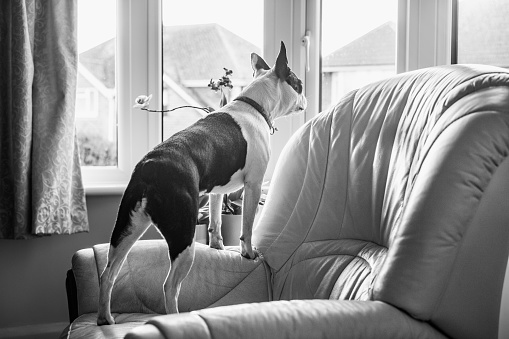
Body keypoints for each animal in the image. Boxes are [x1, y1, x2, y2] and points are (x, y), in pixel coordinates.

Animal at [97, 41, 308, 326]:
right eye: (299, 84)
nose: (305, 98)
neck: (255, 105)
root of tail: (149, 166)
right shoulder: (253, 185)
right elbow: (248, 226)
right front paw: (248, 253)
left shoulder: (218, 191)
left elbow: (216, 220)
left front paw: (218, 246)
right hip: (183, 235)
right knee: (170, 286)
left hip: (127, 229)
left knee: (109, 273)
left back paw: (105, 318)